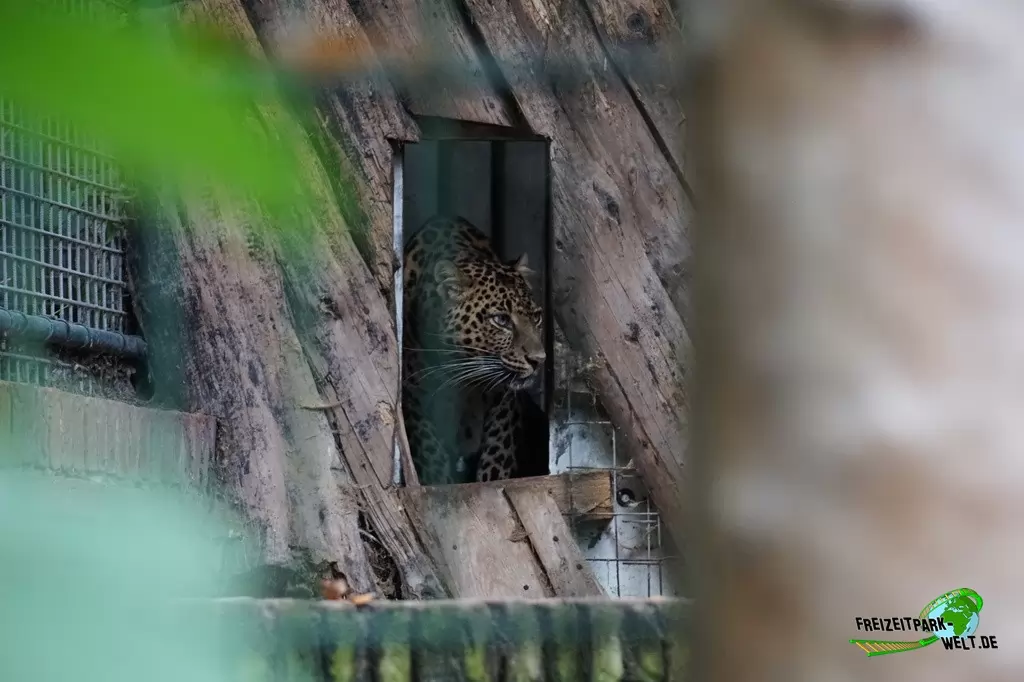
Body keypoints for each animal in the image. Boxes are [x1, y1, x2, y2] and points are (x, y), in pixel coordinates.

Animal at [402, 215, 545, 485]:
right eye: (501, 320)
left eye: (537, 317)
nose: (538, 359)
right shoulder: (413, 397)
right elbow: (430, 453)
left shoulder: (503, 402)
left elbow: (497, 455)